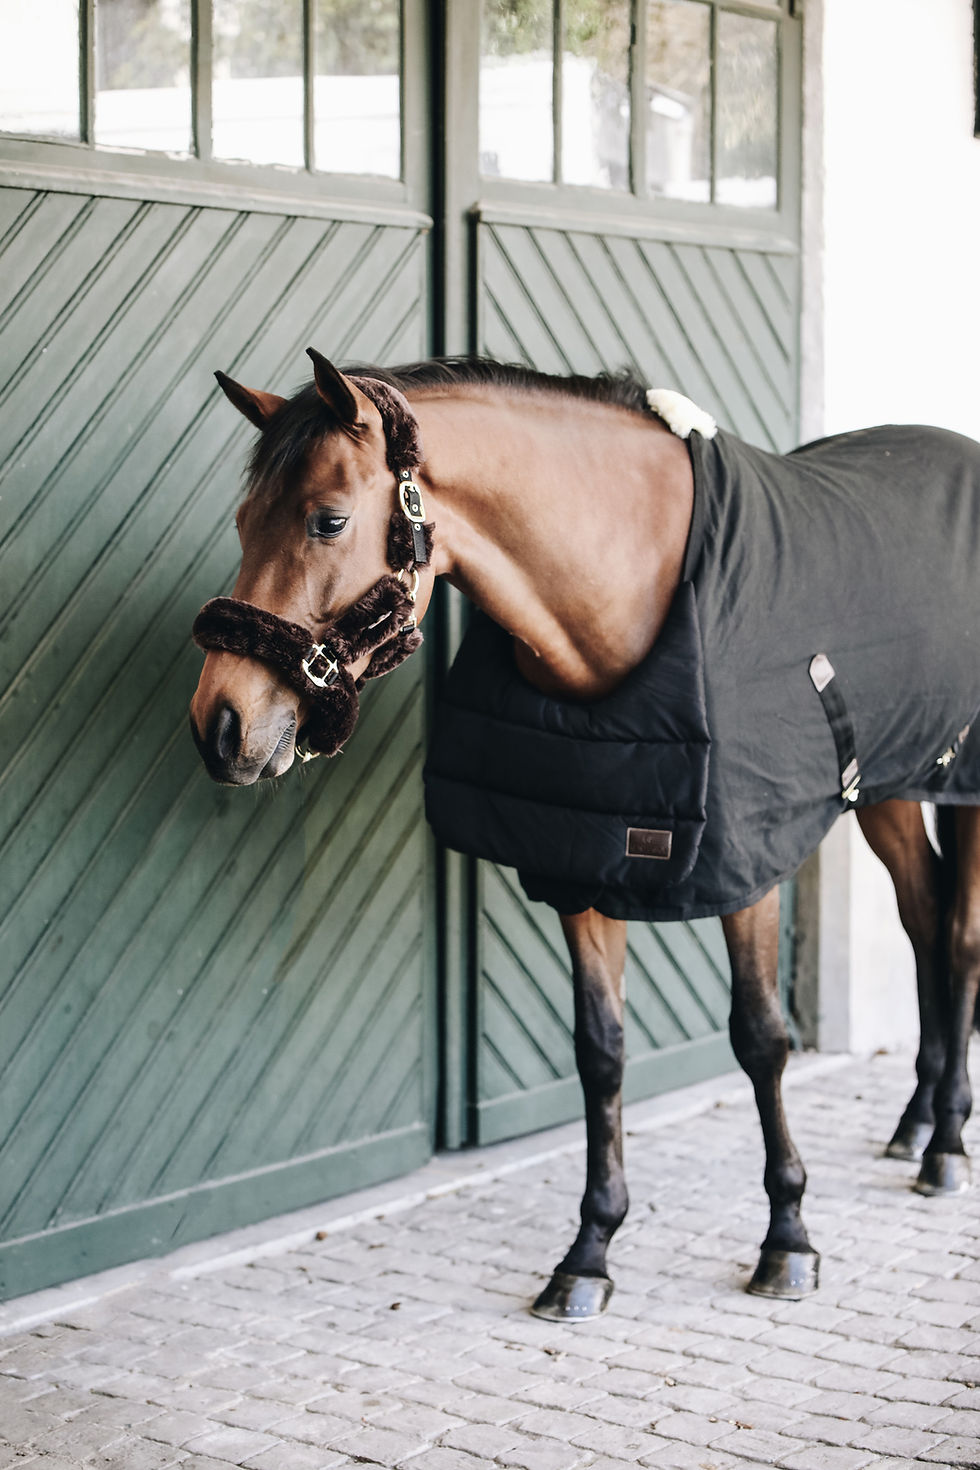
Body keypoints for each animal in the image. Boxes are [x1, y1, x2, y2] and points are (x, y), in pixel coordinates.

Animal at [189, 350, 980, 1323]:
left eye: (326, 519)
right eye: (242, 520)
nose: (220, 726)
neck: (630, 594)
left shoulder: (745, 872)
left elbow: (761, 1040)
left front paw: (788, 1237)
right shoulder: (581, 864)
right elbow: (599, 1054)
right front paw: (590, 1251)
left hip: (964, 787)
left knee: (959, 936)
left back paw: (945, 1145)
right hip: (890, 790)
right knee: (924, 920)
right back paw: (916, 1124)